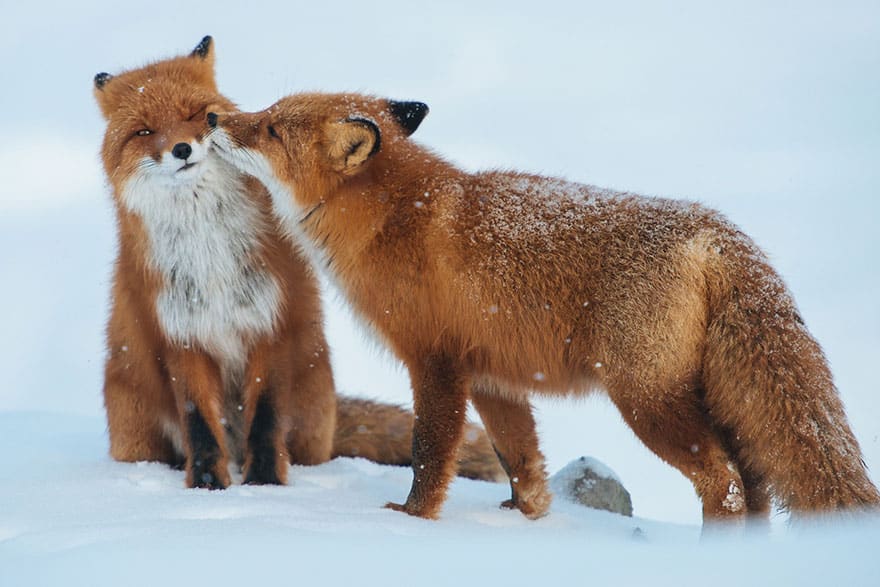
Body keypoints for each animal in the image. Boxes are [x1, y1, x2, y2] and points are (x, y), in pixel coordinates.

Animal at [93, 34, 506, 490]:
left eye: (194, 114)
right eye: (144, 131)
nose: (182, 149)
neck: (210, 253)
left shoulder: (273, 321)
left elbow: (266, 417)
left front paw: (265, 485)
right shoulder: (182, 336)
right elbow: (199, 424)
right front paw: (208, 488)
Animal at [210, 90, 880, 524]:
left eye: (271, 128)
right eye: (266, 112)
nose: (215, 117)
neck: (393, 218)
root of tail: (714, 232)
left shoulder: (436, 363)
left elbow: (430, 454)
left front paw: (411, 519)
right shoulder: (493, 377)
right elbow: (520, 460)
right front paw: (525, 519)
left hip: (647, 402)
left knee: (728, 484)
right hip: (705, 399)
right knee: (756, 482)